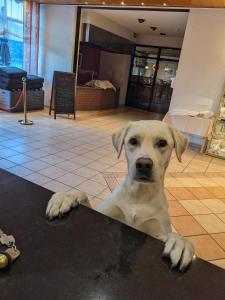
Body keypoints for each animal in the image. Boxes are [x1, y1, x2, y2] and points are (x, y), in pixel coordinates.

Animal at [46, 120, 194, 270]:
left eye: (162, 143)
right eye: (133, 141)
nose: (143, 164)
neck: (139, 195)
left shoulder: (158, 231)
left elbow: (171, 235)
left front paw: (180, 242)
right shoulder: (104, 213)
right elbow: (83, 195)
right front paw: (66, 197)